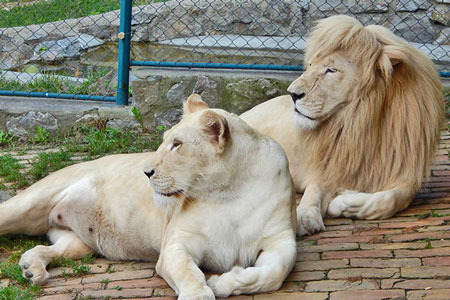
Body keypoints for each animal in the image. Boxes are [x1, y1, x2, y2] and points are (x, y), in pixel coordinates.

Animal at [241, 15, 444, 236]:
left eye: (331, 70)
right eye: (310, 65)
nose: (292, 94)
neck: (360, 122)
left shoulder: (405, 174)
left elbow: (389, 200)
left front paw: (344, 202)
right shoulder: (328, 169)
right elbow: (313, 192)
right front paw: (304, 216)